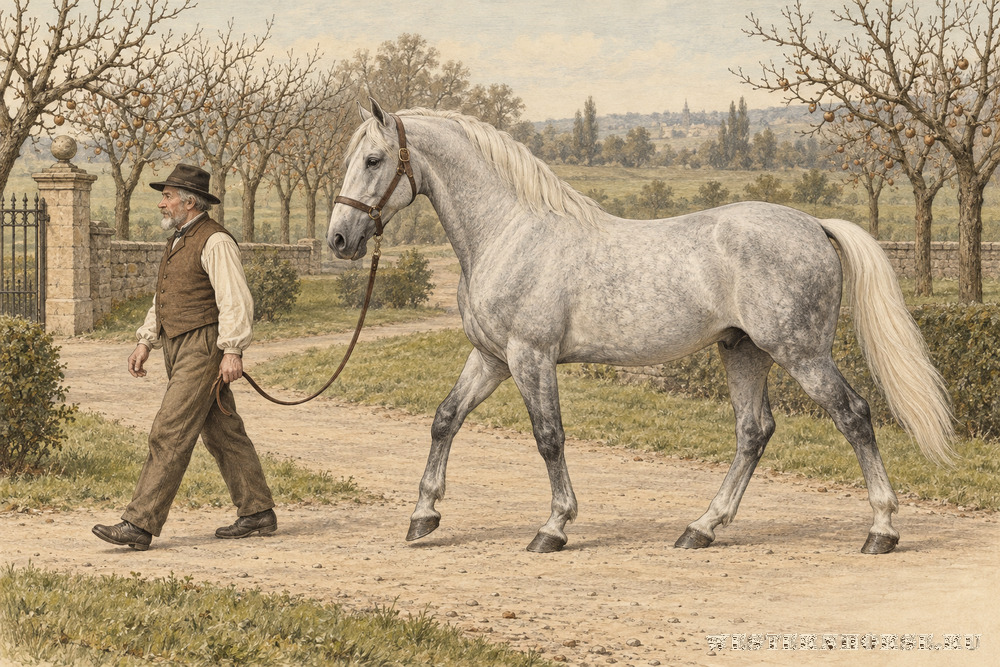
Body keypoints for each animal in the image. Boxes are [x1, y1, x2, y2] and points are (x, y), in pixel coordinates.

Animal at [327, 99, 954, 555]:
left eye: (375, 160)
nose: (339, 239)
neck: (509, 231)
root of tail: (814, 225)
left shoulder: (530, 356)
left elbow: (548, 437)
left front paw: (553, 528)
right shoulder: (492, 357)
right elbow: (445, 420)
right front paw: (423, 516)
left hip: (800, 353)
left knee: (854, 416)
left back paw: (881, 531)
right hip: (744, 351)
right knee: (753, 431)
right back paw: (701, 528)